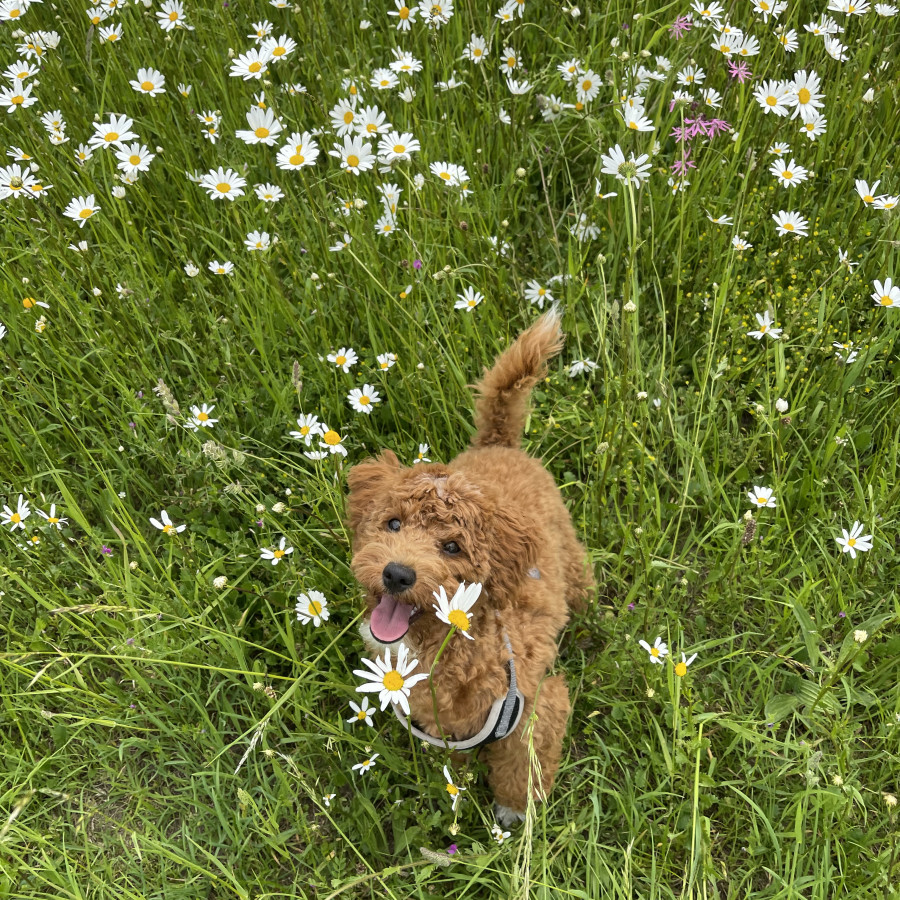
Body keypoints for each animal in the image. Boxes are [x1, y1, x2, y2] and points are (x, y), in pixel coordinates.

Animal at [348, 312, 596, 824]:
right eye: (393, 523)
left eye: (452, 547)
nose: (397, 574)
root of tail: (499, 444)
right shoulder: (441, 725)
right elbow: (454, 759)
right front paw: (455, 783)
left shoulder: (537, 706)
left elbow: (522, 768)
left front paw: (515, 812)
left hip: (570, 553)